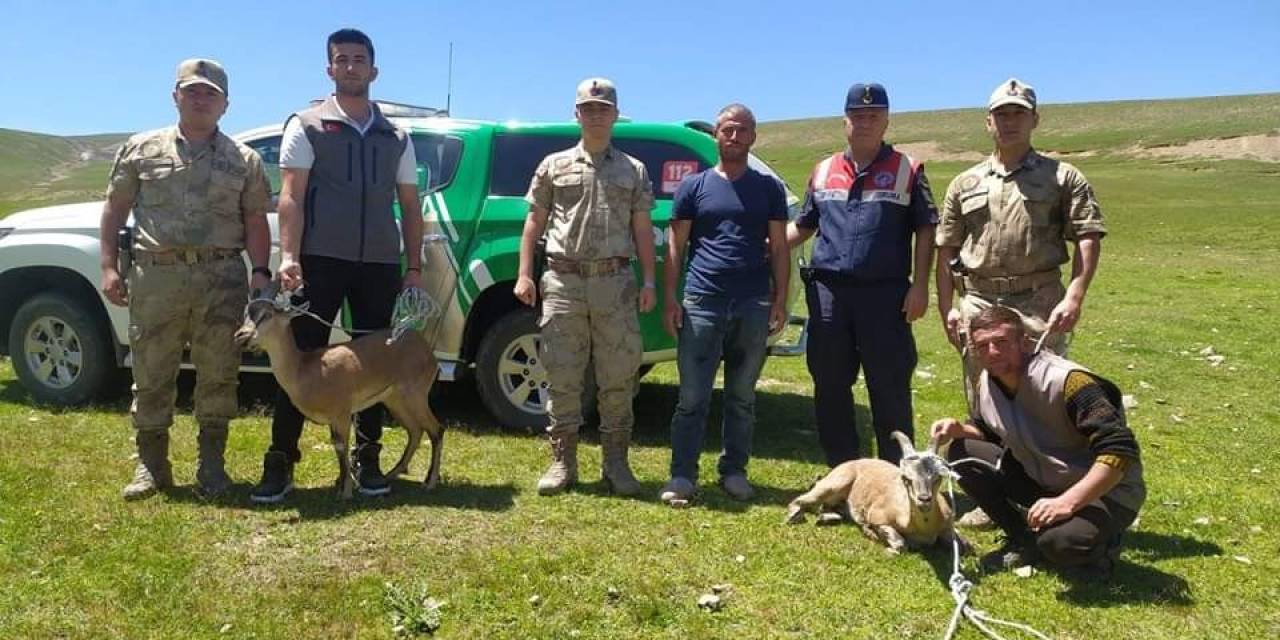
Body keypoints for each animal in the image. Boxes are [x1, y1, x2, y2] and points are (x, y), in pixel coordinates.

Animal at [235, 288, 445, 501]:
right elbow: (337, 447)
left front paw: (346, 492)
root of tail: (428, 351)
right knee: (416, 430)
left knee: (436, 429)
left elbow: (342, 447)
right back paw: (391, 474)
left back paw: (429, 482)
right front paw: (342, 486)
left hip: (415, 395)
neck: (304, 370)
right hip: (395, 400)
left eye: (267, 315)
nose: (241, 336)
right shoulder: (333, 419)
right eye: (245, 313)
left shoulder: (342, 413)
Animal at [778, 435, 967, 555]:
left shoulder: (948, 526)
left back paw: (826, 518)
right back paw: (794, 516)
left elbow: (963, 546)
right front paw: (874, 536)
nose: (924, 499)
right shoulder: (878, 516)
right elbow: (900, 543)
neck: (923, 530)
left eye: (938, 477)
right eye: (906, 478)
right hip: (834, 483)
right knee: (801, 500)